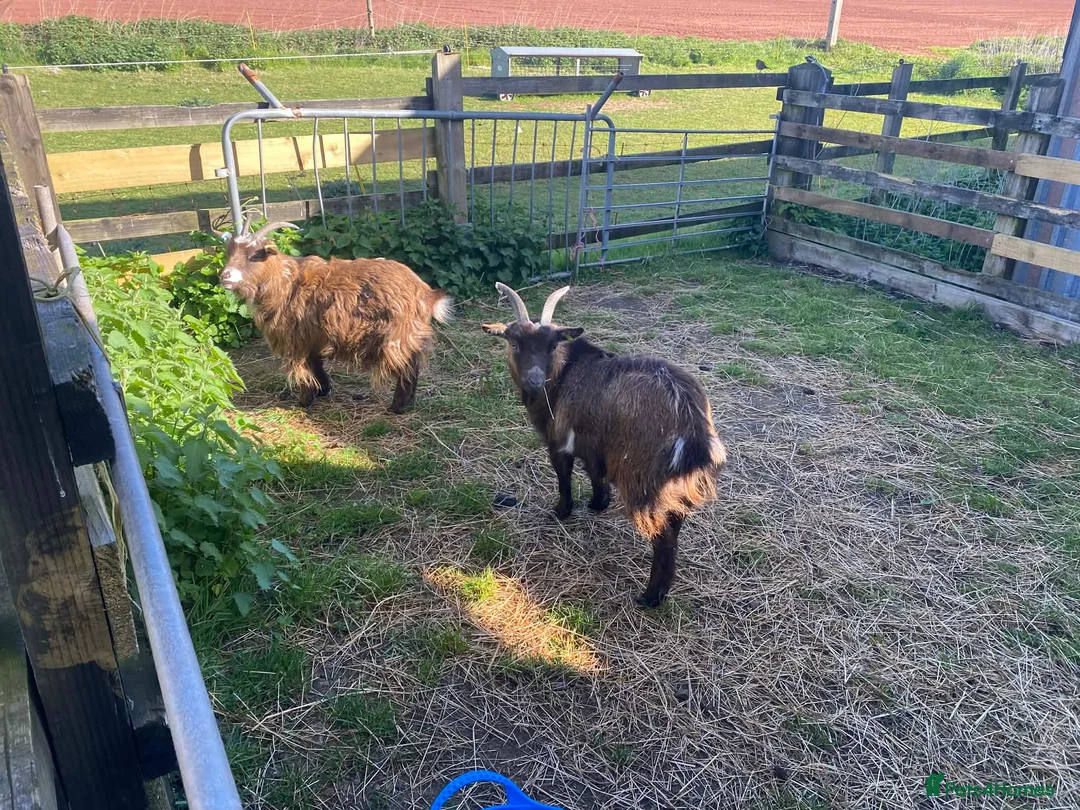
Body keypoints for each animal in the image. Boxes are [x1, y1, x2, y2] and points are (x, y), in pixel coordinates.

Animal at [218, 216, 452, 412]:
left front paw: (305, 401)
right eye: (229, 253)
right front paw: (323, 390)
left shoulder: (295, 340)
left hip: (396, 338)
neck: (286, 282)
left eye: (253, 255)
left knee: (406, 369)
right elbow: (316, 365)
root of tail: (425, 293)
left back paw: (397, 407)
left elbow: (304, 370)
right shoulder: (314, 337)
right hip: (410, 337)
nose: (225, 276)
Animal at [483, 283, 726, 607]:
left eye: (552, 346)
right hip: (671, 482)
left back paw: (650, 597)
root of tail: (691, 423)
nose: (534, 381)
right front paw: (598, 504)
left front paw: (561, 511)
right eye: (514, 343)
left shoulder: (559, 439)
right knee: (676, 520)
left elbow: (564, 476)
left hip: (642, 477)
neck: (564, 373)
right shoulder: (593, 443)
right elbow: (594, 473)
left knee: (663, 534)